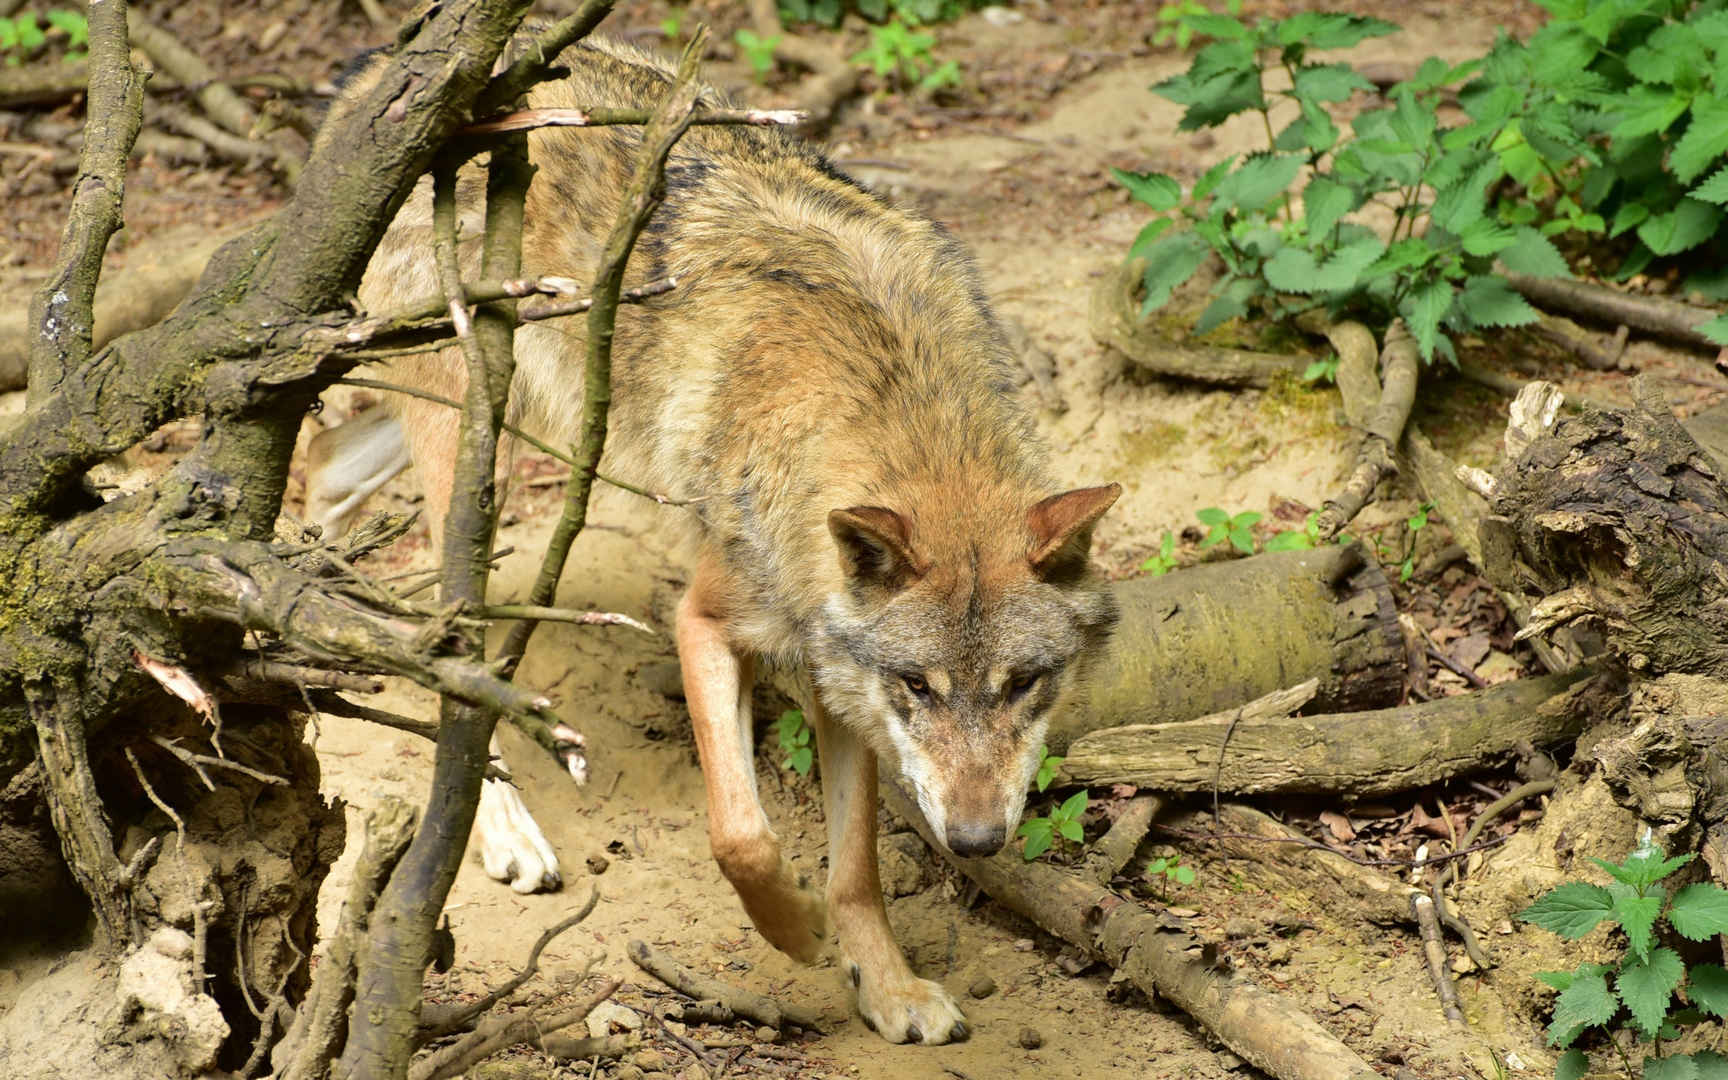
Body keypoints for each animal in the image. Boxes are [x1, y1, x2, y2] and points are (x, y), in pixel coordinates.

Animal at [309, 38, 1119, 1043]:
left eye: (1023, 684)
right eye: (920, 687)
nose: (976, 840)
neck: (896, 402)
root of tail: (370, 76)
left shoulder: (833, 672)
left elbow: (857, 868)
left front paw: (888, 988)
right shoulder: (706, 621)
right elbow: (741, 835)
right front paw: (797, 934)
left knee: (322, 474)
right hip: (480, 461)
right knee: (449, 634)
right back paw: (500, 826)